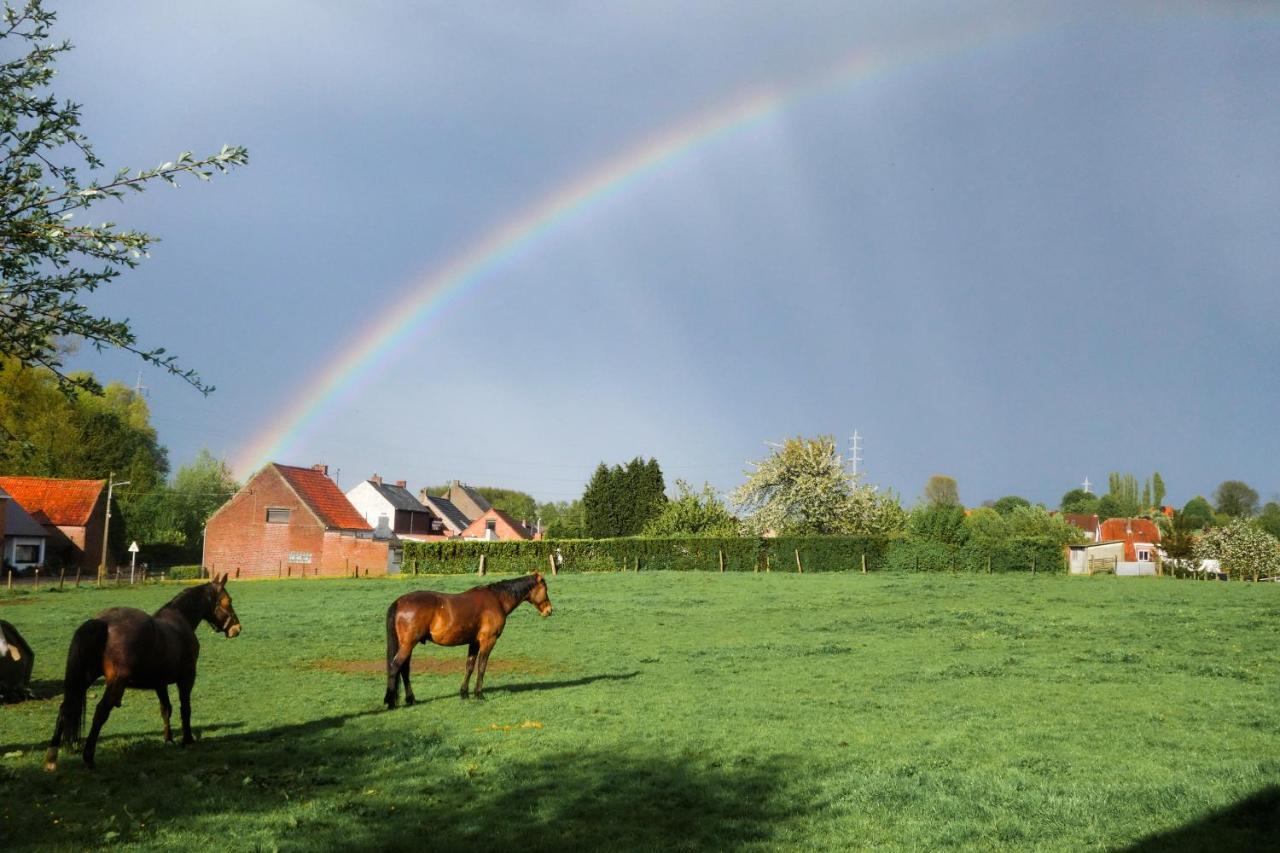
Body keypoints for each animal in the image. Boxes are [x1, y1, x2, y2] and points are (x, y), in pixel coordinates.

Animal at [43, 573, 240, 768]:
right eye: (228, 600)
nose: (237, 628)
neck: (181, 619)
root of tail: (102, 622)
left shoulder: (160, 683)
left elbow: (166, 709)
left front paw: (168, 739)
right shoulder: (187, 678)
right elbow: (185, 708)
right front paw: (187, 740)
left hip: (86, 677)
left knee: (66, 707)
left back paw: (52, 756)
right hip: (116, 682)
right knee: (100, 712)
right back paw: (88, 756)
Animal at [378, 573, 550, 706]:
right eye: (545, 589)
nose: (549, 610)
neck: (497, 600)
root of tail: (399, 602)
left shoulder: (474, 642)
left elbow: (470, 666)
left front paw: (464, 693)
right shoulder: (488, 641)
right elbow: (482, 667)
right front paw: (479, 694)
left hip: (406, 645)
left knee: (404, 669)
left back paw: (410, 699)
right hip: (408, 644)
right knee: (396, 666)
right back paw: (390, 701)